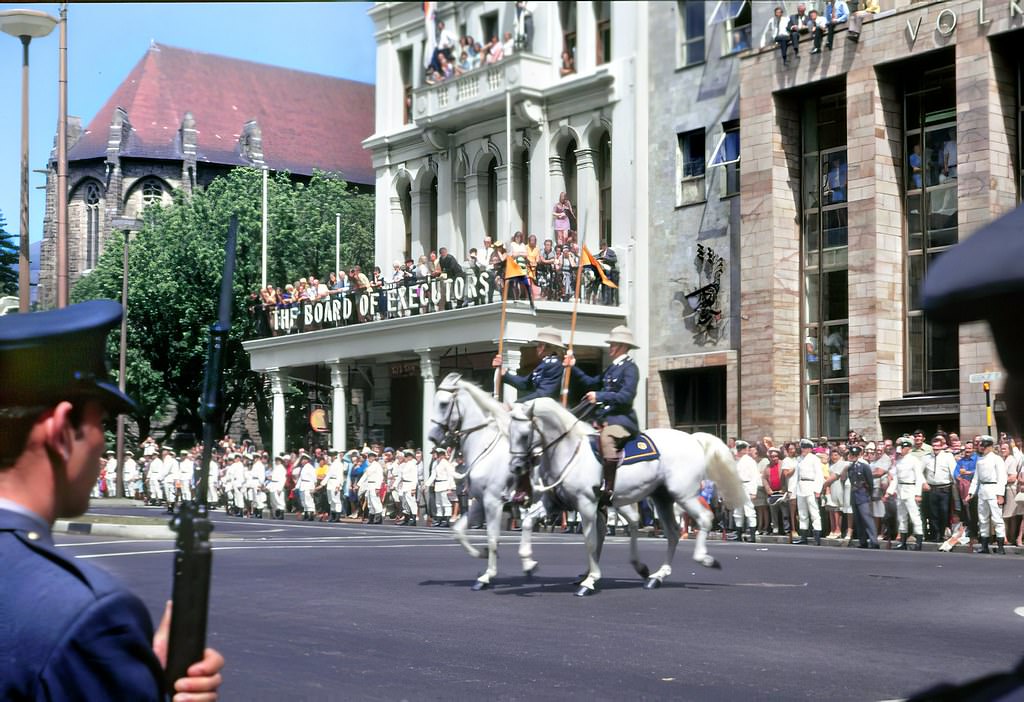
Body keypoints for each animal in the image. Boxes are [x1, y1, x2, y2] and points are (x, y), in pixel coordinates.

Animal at [428, 376, 532, 589]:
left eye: (443, 404)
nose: (432, 437)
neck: (485, 448)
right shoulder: (479, 501)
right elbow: (458, 531)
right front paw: (481, 553)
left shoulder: (493, 502)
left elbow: (492, 538)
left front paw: (487, 576)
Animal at [509, 399, 745, 597]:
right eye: (511, 431)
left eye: (525, 435)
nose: (516, 467)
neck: (568, 451)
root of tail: (692, 438)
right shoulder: (555, 503)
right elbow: (528, 521)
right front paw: (528, 563)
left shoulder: (586, 504)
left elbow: (590, 541)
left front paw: (590, 581)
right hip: (662, 498)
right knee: (672, 533)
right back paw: (656, 576)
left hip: (684, 494)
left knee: (703, 518)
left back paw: (705, 559)